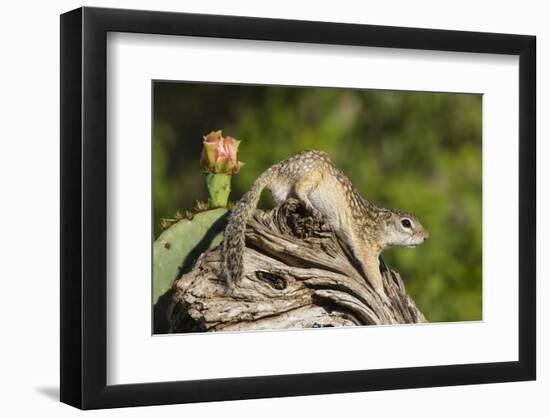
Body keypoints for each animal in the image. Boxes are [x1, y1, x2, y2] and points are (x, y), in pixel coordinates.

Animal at [222, 150, 430, 302]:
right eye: (406, 223)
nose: (426, 236)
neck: (378, 225)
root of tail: (277, 169)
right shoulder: (366, 248)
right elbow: (372, 272)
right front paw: (383, 296)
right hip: (313, 174)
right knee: (299, 189)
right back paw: (311, 207)